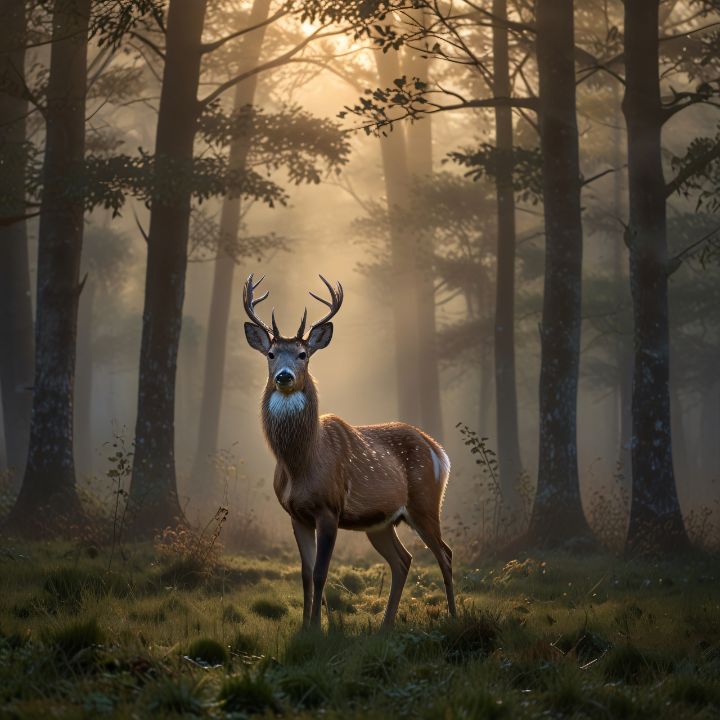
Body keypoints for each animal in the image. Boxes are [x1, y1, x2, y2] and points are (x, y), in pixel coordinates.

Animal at [242, 273, 456, 628]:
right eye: (270, 353)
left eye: (303, 354)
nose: (284, 376)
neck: (300, 464)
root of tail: (439, 450)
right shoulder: (295, 514)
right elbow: (304, 574)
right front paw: (304, 626)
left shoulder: (329, 508)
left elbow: (320, 572)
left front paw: (317, 627)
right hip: (381, 522)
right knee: (403, 560)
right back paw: (385, 625)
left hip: (425, 502)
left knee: (445, 554)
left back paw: (454, 617)